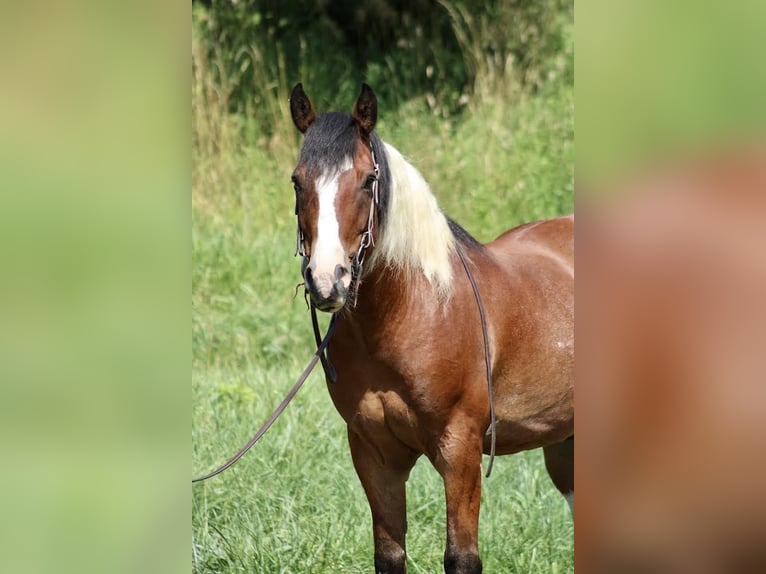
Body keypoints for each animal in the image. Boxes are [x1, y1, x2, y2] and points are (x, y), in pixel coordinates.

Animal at [290, 82, 576, 574]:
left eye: (367, 180)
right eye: (297, 181)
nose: (327, 280)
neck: (415, 310)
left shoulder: (459, 450)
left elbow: (461, 557)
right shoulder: (374, 453)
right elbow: (389, 554)